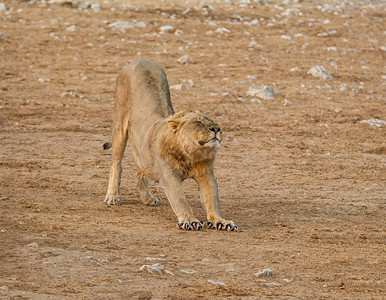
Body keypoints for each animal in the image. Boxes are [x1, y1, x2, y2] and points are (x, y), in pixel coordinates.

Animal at [104, 59, 237, 232]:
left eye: (215, 123)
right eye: (198, 122)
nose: (216, 129)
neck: (190, 155)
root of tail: (139, 60)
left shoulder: (207, 174)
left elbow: (212, 199)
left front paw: (220, 221)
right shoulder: (169, 176)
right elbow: (180, 199)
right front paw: (189, 220)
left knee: (141, 169)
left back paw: (147, 198)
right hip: (120, 125)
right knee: (116, 163)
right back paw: (113, 196)